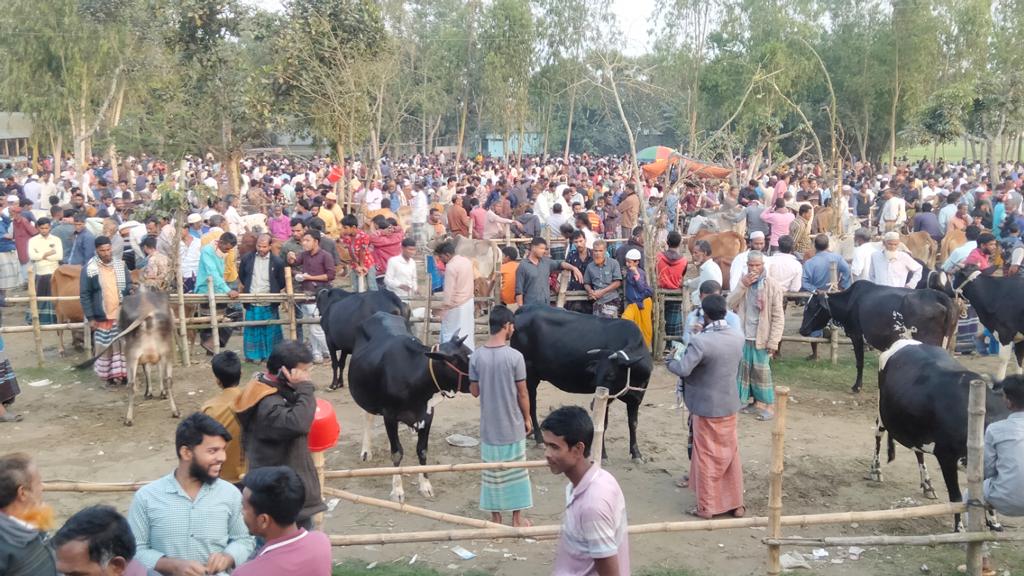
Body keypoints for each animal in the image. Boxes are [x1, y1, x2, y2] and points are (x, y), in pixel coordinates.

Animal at [346, 311, 468, 500]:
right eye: (464, 360)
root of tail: (380, 313)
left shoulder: (428, 414)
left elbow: (422, 450)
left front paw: (425, 485)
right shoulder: (389, 414)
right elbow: (397, 453)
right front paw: (397, 490)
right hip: (366, 396)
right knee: (368, 417)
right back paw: (366, 451)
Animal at [512, 303, 655, 459]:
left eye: (611, 375)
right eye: (595, 373)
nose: (593, 403)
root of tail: (526, 308)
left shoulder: (636, 397)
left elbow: (633, 423)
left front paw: (636, 453)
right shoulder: (606, 399)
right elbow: (603, 424)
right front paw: (602, 454)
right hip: (529, 374)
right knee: (531, 405)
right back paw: (538, 438)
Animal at [794, 280, 954, 391]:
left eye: (812, 307)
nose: (802, 330)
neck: (850, 301)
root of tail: (938, 296)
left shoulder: (856, 335)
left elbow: (860, 362)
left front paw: (857, 387)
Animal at [872, 340, 1007, 528]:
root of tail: (903, 341)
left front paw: (994, 523)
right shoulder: (946, 457)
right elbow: (956, 497)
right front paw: (959, 529)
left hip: (916, 427)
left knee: (918, 451)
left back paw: (927, 484)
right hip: (882, 412)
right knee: (878, 435)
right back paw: (876, 470)